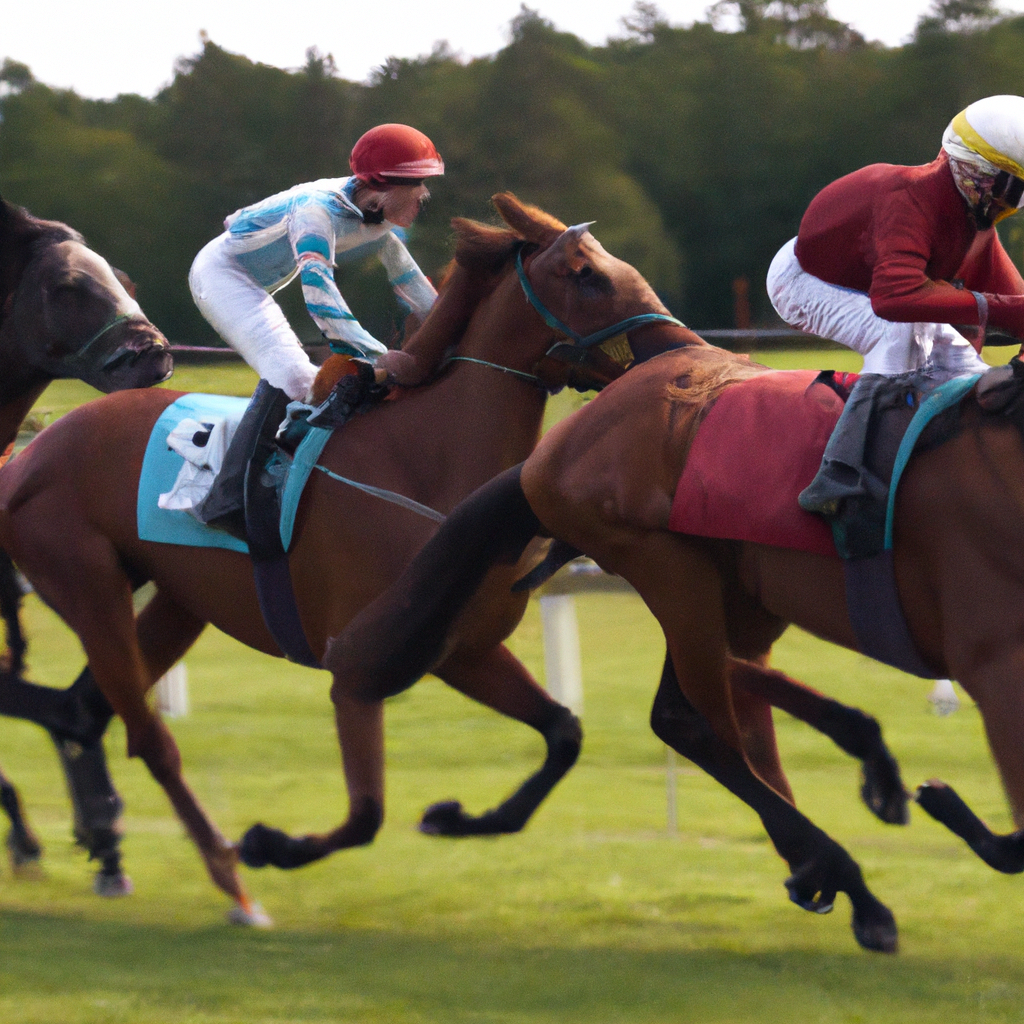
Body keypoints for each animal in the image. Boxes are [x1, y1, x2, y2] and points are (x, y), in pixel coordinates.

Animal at [325, 335, 1024, 950]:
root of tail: (553, 451)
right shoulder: (996, 665)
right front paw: (941, 801)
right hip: (667, 566)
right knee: (694, 720)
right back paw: (850, 880)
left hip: (731, 585)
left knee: (718, 696)